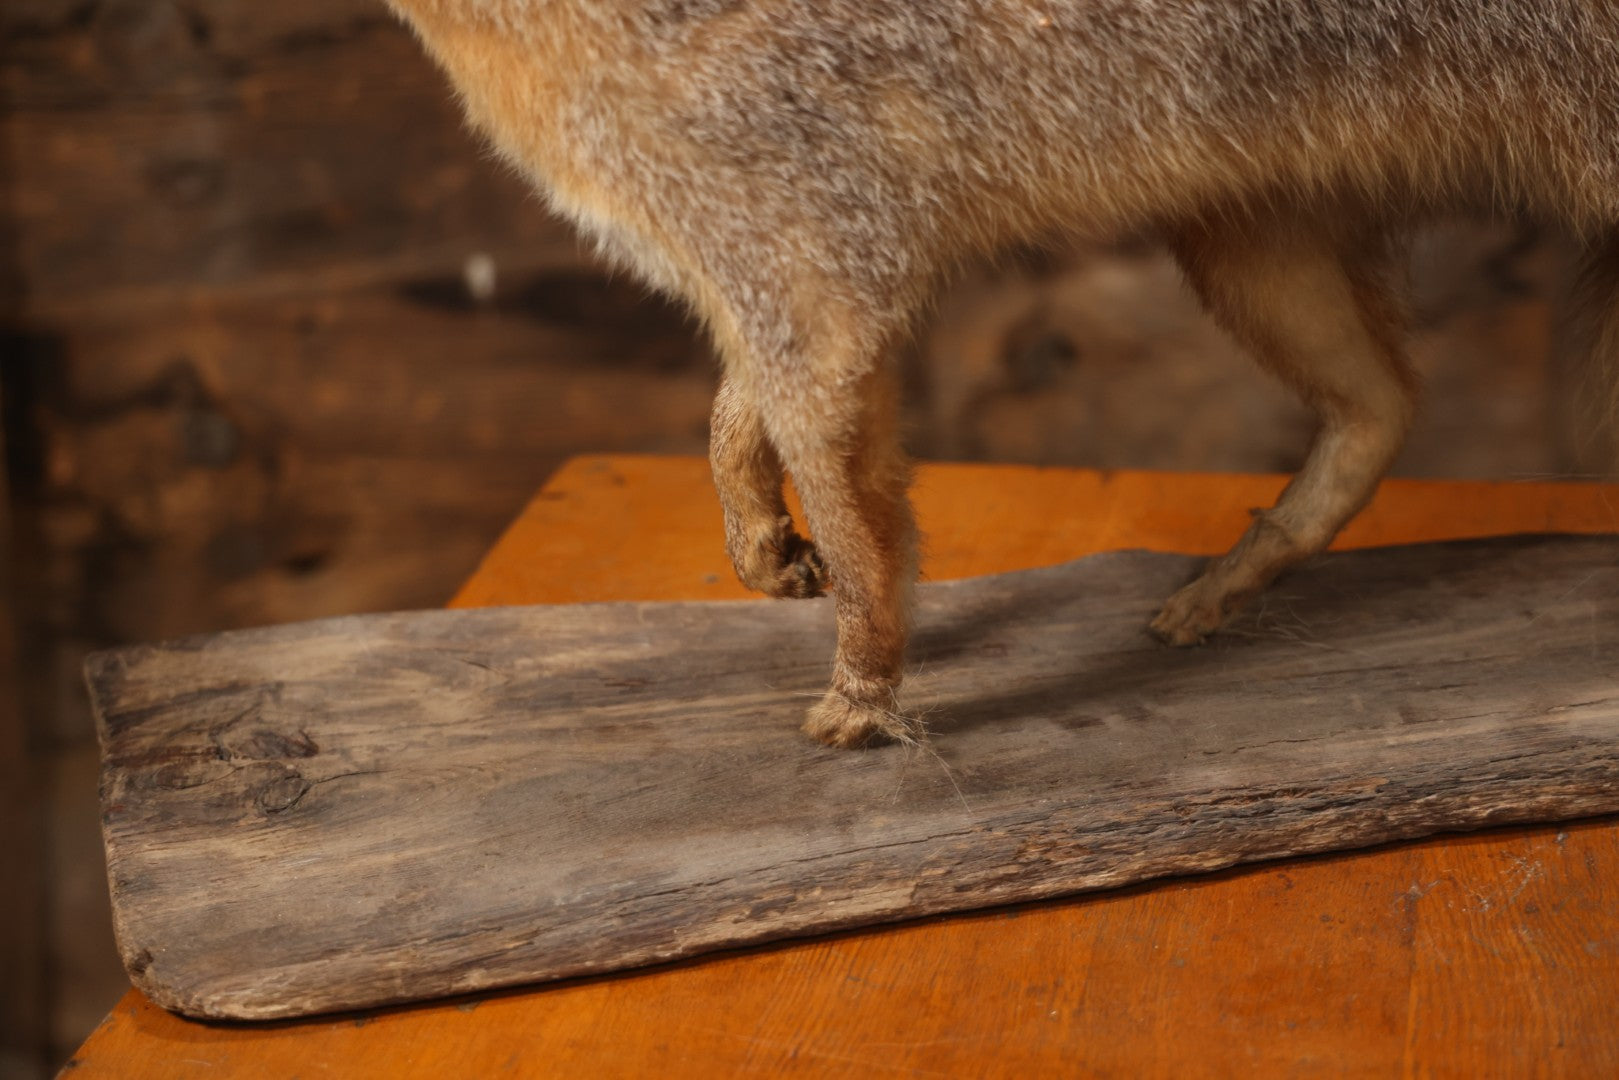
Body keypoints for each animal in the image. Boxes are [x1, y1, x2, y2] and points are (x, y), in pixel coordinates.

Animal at [385, 1, 1619, 748]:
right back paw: (1231, 579)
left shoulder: (814, 280)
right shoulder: (796, 272)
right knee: (1383, 408)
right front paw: (757, 543)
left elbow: (863, 542)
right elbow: (738, 422)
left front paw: (863, 692)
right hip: (1245, 241)